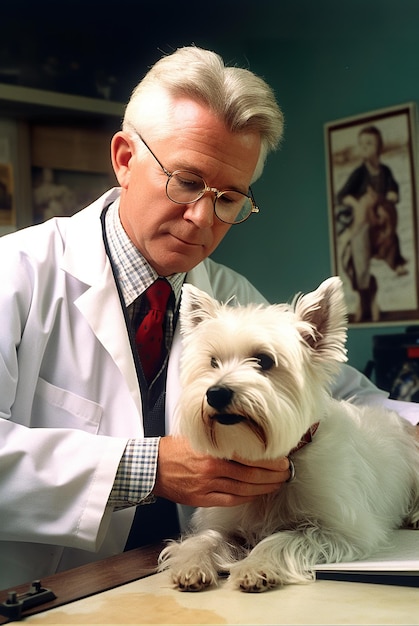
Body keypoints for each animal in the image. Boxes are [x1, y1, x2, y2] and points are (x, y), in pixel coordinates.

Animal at [158, 276, 419, 588]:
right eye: (212, 362)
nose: (216, 394)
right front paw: (191, 564)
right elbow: (207, 539)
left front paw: (255, 565)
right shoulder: (226, 521)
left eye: (264, 360)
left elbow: (282, 538)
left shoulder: (343, 529)